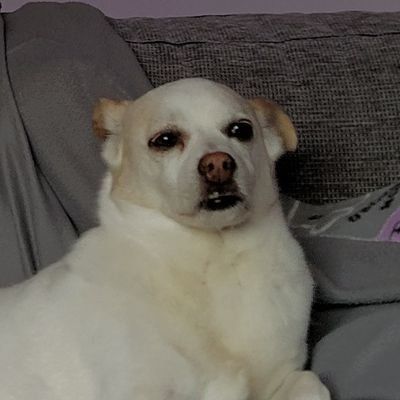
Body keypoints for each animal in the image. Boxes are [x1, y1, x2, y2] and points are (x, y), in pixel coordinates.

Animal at [0, 78, 330, 400]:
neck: (213, 260)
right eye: (166, 140)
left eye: (241, 130)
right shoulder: (138, 390)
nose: (218, 164)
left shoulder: (282, 380)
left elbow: (312, 383)